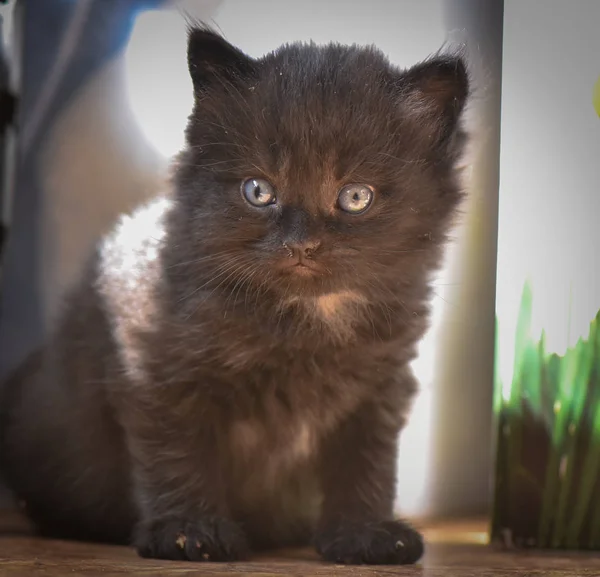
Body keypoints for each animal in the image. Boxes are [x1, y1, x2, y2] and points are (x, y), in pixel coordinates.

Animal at [0, 25, 468, 564]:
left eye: (355, 197)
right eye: (258, 191)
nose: (301, 244)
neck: (305, 322)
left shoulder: (379, 386)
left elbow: (365, 460)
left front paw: (364, 531)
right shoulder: (156, 367)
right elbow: (179, 451)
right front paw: (189, 530)